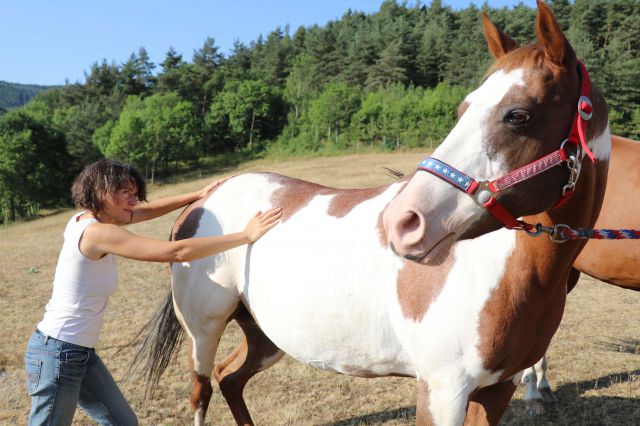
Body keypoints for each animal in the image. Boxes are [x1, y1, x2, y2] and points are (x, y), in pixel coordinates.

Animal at [139, 1, 608, 424]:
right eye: (462, 110)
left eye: (518, 115)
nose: (402, 222)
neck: (503, 271)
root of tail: (207, 197)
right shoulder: (442, 390)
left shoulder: (497, 388)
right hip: (204, 332)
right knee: (202, 390)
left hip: (264, 335)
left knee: (230, 378)